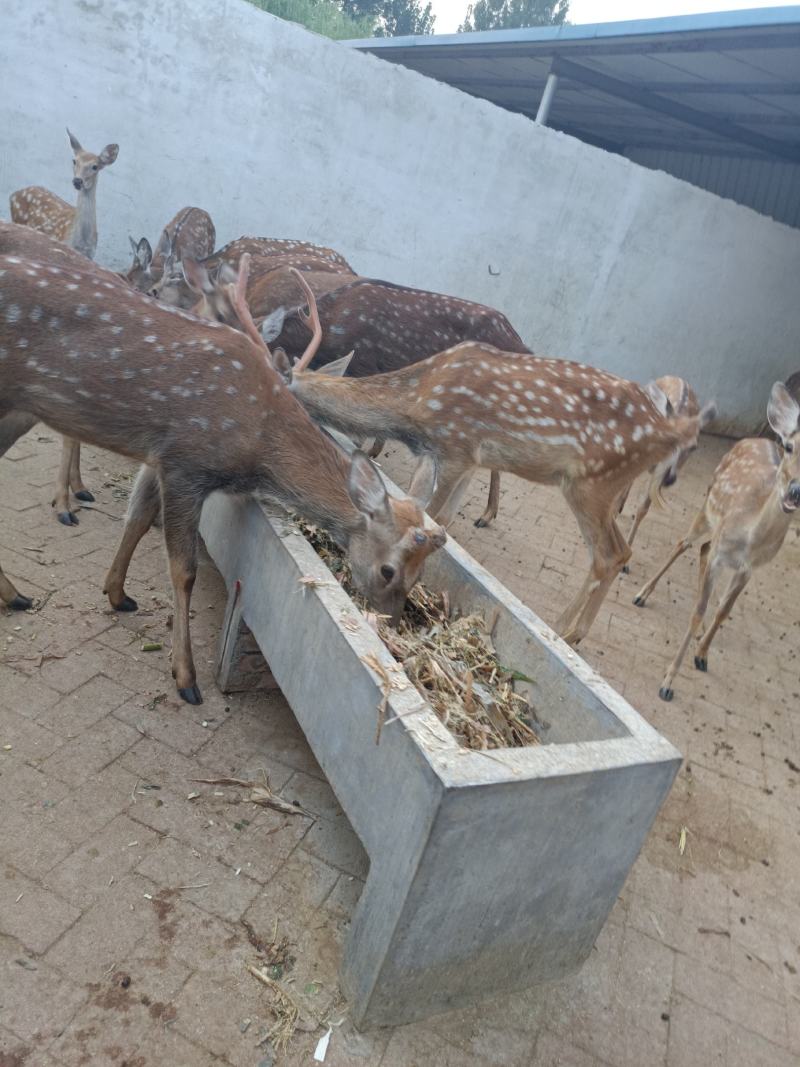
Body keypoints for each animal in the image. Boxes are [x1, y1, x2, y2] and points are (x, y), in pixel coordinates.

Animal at [0, 251, 446, 704]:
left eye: (421, 573)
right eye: (388, 570)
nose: (390, 626)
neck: (257, 445)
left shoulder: (160, 457)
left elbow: (138, 517)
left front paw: (117, 593)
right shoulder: (185, 462)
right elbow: (184, 569)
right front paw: (186, 677)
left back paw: (17, 594)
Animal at [272, 324, 716, 647]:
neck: (416, 404)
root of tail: (671, 431)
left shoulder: (456, 445)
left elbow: (435, 515)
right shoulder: (464, 457)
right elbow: (443, 520)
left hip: (592, 481)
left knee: (608, 555)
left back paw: (563, 631)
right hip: (604, 486)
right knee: (621, 550)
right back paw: (574, 630)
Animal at [632, 383, 800, 702]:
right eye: (790, 446)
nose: (794, 491)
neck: (750, 538)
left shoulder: (749, 569)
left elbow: (723, 610)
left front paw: (702, 655)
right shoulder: (722, 555)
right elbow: (698, 611)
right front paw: (667, 683)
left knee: (703, 549)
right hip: (707, 507)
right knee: (684, 543)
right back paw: (641, 594)